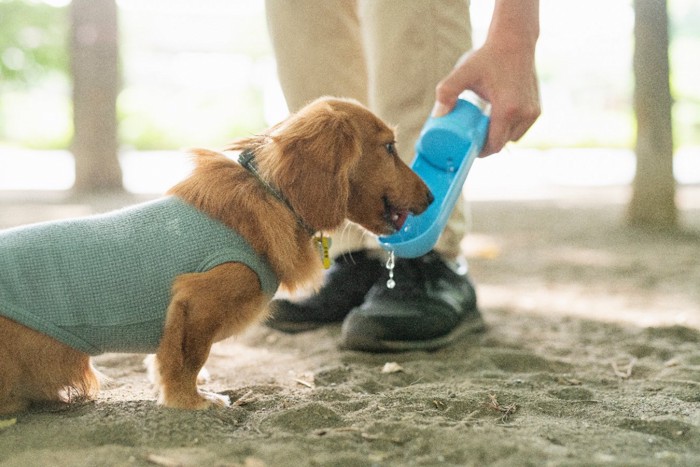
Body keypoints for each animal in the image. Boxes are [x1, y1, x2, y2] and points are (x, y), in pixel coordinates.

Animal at [0, 98, 432, 414]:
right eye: (389, 147)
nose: (431, 198)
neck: (272, 196)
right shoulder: (197, 300)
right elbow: (187, 361)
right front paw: (192, 401)